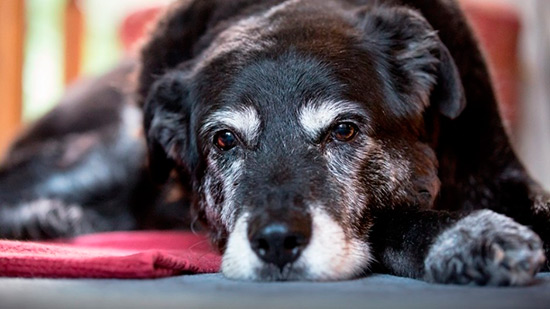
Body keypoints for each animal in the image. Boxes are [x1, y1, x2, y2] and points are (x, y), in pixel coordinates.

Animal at [1, 0, 550, 284]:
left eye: (344, 130)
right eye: (224, 140)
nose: (277, 243)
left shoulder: (501, 173)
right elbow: (393, 219)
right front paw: (469, 235)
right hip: (117, 148)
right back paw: (44, 218)